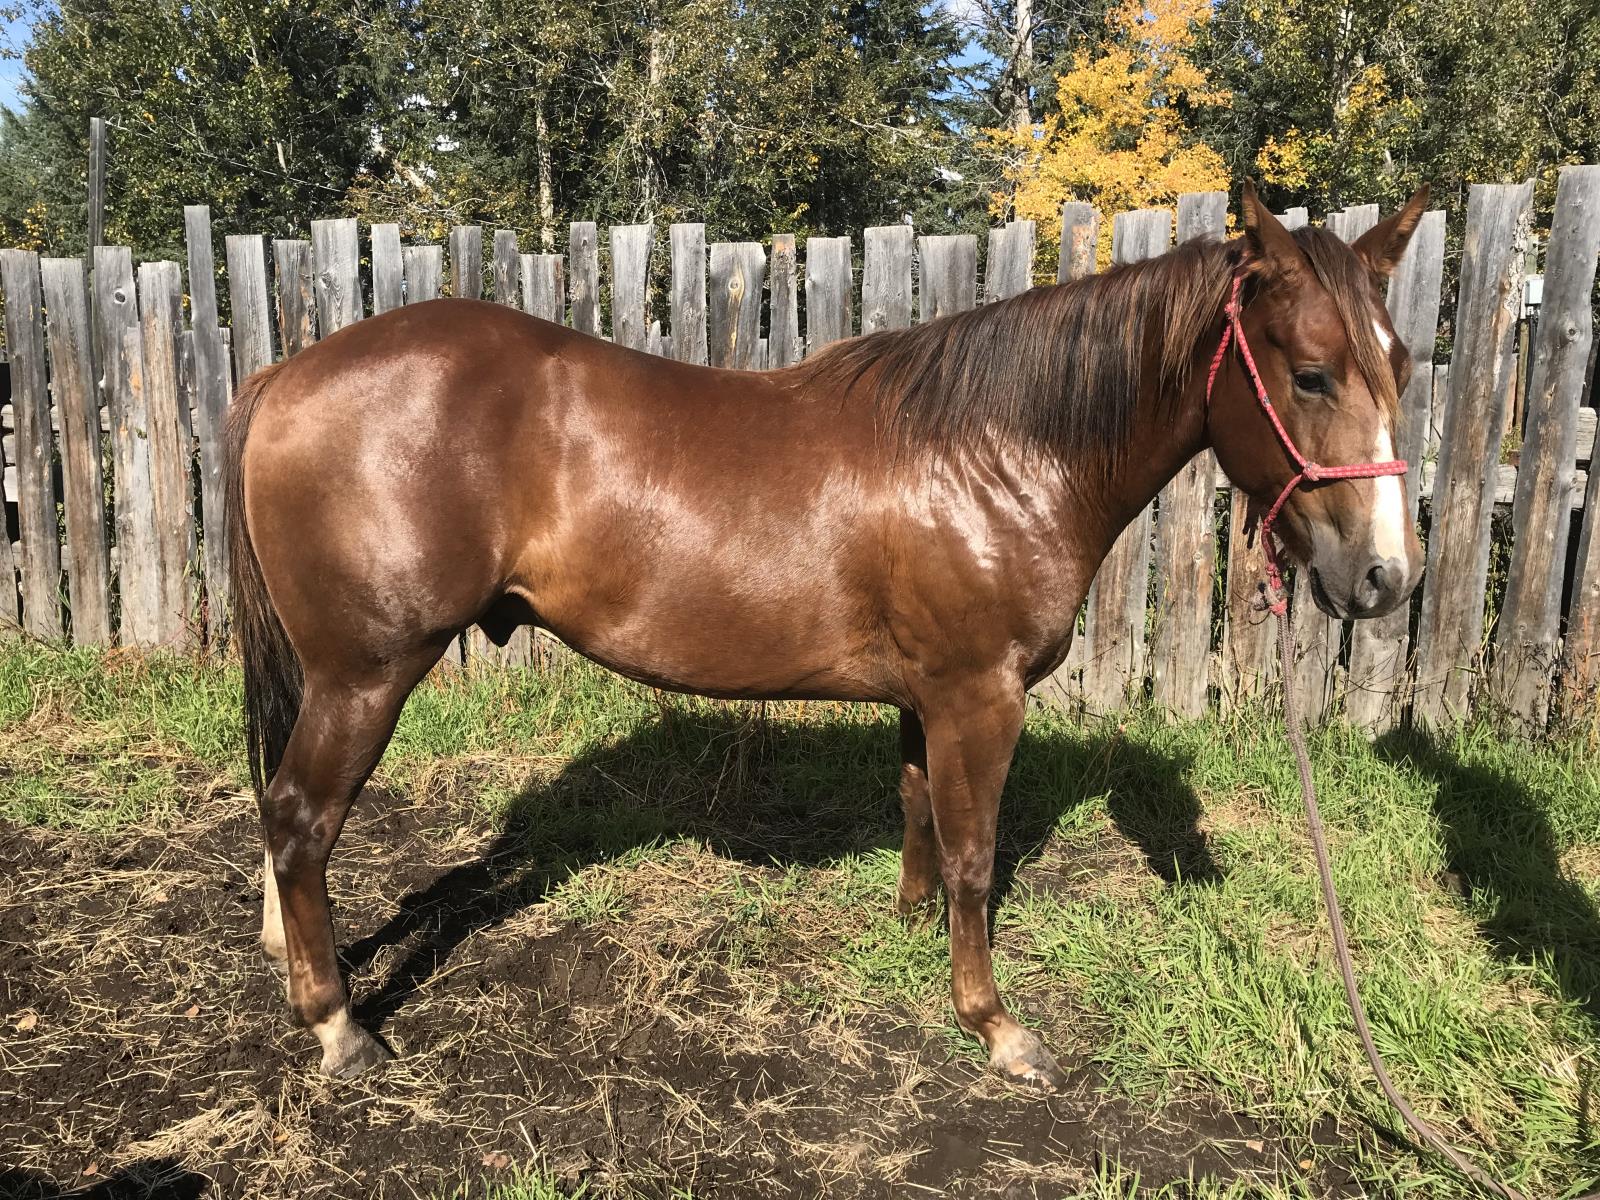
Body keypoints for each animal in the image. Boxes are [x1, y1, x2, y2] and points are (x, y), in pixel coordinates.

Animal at [228, 182, 1429, 1085]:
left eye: (1400, 365)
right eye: (1309, 373)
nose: (1384, 578)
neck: (996, 455)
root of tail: (288, 371)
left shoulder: (926, 697)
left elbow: (921, 821)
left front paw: (910, 938)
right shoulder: (980, 695)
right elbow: (976, 856)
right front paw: (994, 1026)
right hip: (364, 673)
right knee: (299, 818)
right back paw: (338, 1025)